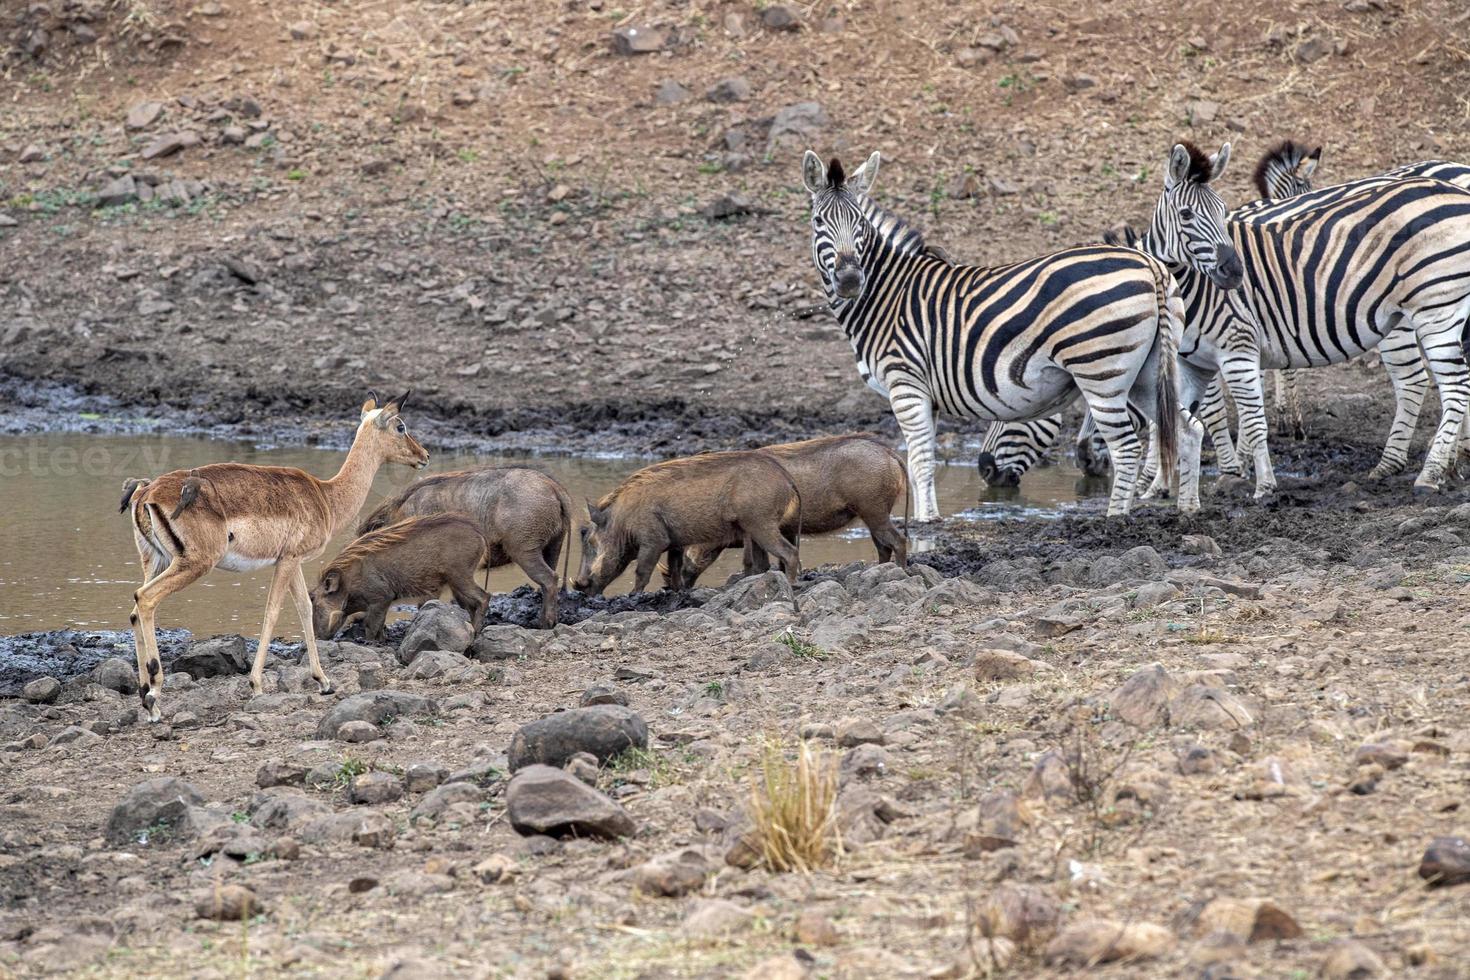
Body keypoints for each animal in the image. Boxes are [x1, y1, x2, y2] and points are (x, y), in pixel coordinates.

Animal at [805, 142, 1240, 520]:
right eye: (818, 222)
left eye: (860, 225)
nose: (849, 279)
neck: (887, 293)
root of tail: (1151, 265)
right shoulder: (926, 395)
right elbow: (921, 462)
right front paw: (932, 519)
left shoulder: (905, 383)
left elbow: (920, 460)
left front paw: (926, 526)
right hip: (1147, 373)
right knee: (1188, 430)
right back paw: (1188, 509)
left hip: (1100, 371)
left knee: (1127, 447)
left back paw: (1115, 519)